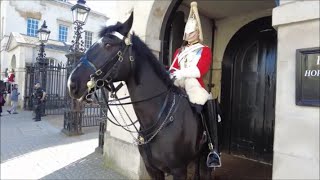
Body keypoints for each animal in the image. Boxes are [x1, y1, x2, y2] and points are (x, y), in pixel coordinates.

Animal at [67, 12, 214, 179]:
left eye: (108, 45)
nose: (72, 83)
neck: (157, 118)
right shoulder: (153, 169)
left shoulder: (179, 170)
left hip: (205, 158)